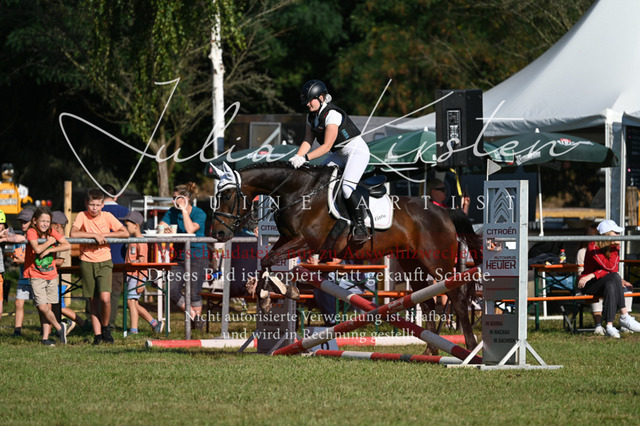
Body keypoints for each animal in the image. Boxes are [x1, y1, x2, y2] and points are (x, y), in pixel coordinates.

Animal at [210, 161, 482, 355]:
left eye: (227, 196)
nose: (218, 234)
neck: (298, 192)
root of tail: (443, 211)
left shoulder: (306, 243)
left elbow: (270, 260)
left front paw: (277, 294)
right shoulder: (287, 239)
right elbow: (266, 260)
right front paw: (270, 294)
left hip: (436, 262)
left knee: (457, 298)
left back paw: (469, 348)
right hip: (411, 262)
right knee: (427, 303)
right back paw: (430, 350)